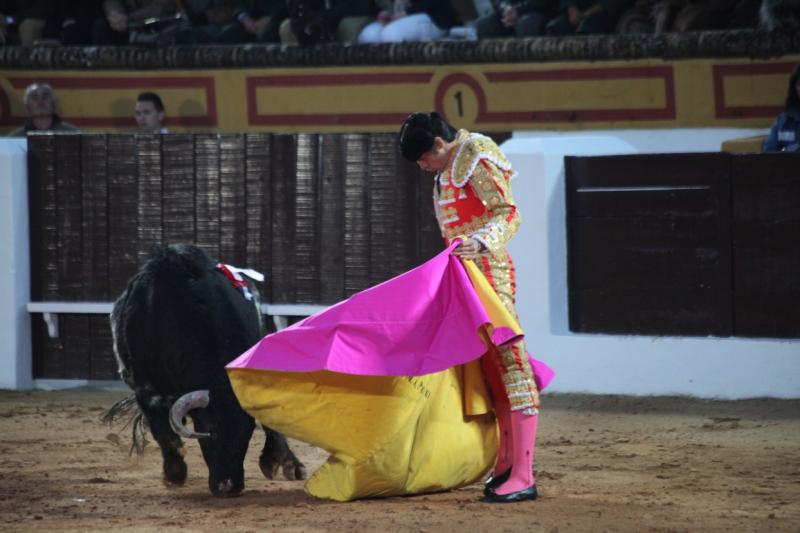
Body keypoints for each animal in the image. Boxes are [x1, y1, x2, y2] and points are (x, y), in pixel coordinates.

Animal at [108, 244, 304, 494]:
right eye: (207, 433)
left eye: (247, 432)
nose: (227, 486)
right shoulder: (145, 389)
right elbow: (163, 432)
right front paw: (174, 474)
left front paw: (277, 462)